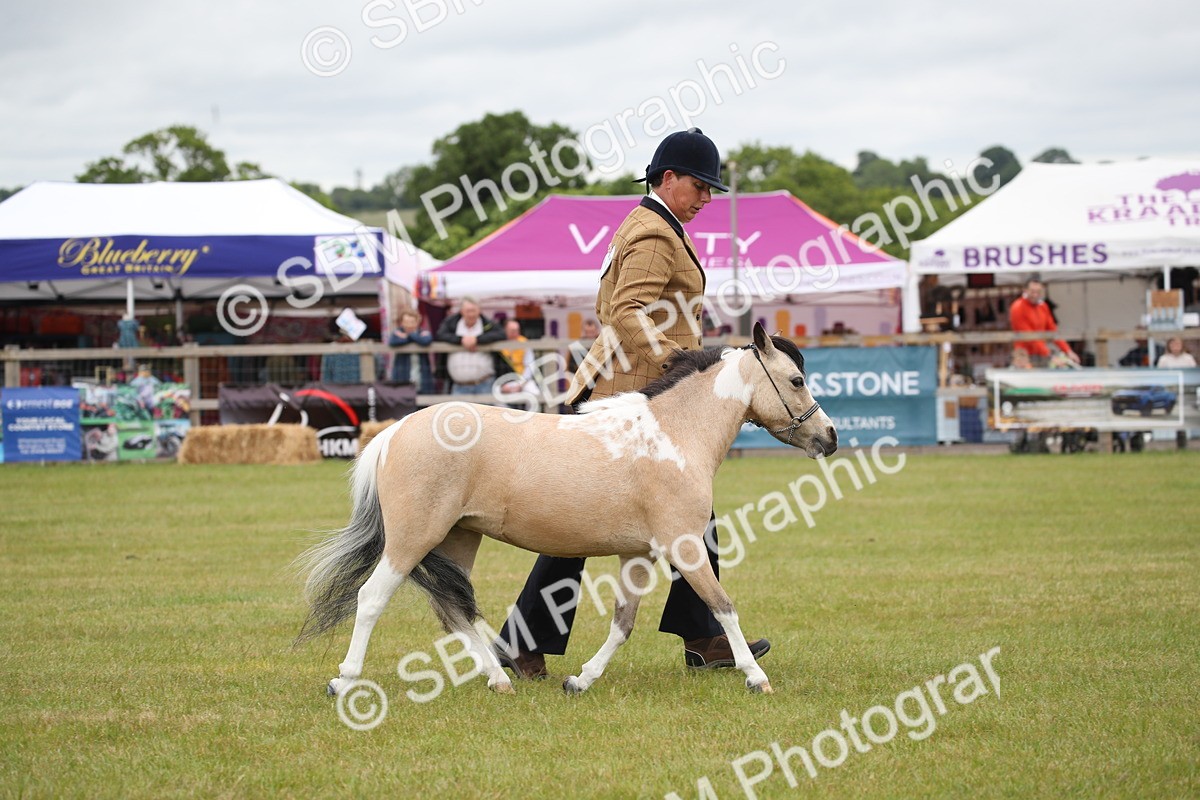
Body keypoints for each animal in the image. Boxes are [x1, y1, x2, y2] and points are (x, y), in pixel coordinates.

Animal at [297, 322, 837, 696]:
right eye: (796, 380)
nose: (829, 436)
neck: (673, 433)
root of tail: (394, 431)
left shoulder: (637, 555)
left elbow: (623, 623)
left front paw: (580, 680)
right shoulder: (684, 546)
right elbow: (723, 606)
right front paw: (756, 675)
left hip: (458, 539)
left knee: (454, 611)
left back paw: (500, 680)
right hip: (413, 538)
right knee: (371, 598)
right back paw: (344, 681)